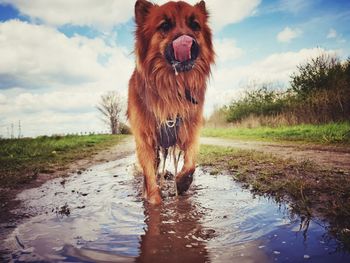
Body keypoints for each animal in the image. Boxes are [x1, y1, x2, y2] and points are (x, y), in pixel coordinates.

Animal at [128, 0, 213, 205]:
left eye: (195, 25)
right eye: (165, 25)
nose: (188, 42)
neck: (172, 86)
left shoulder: (190, 130)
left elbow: (190, 164)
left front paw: (181, 183)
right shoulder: (145, 140)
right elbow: (150, 178)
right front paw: (154, 202)